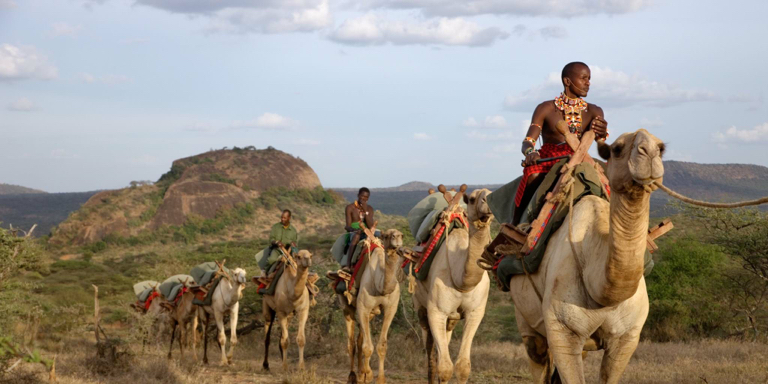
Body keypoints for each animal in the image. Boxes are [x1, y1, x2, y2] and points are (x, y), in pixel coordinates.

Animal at [340, 230, 404, 382]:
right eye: (387, 235)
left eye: (402, 235)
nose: (397, 237)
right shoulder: (363, 308)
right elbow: (367, 347)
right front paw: (367, 375)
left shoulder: (390, 309)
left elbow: (381, 345)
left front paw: (378, 378)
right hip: (347, 306)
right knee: (351, 343)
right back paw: (352, 376)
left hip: (371, 314)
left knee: (359, 339)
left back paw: (360, 372)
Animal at [412, 188, 496, 382]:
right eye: (472, 199)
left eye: (492, 192)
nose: (488, 203)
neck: (462, 281)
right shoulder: (436, 311)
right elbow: (444, 368)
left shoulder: (475, 312)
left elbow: (463, 366)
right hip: (421, 307)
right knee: (430, 352)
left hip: (452, 318)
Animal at [508, 130, 664, 384]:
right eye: (617, 148)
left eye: (661, 148)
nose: (649, 152)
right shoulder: (563, 331)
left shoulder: (627, 338)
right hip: (526, 319)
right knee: (536, 353)